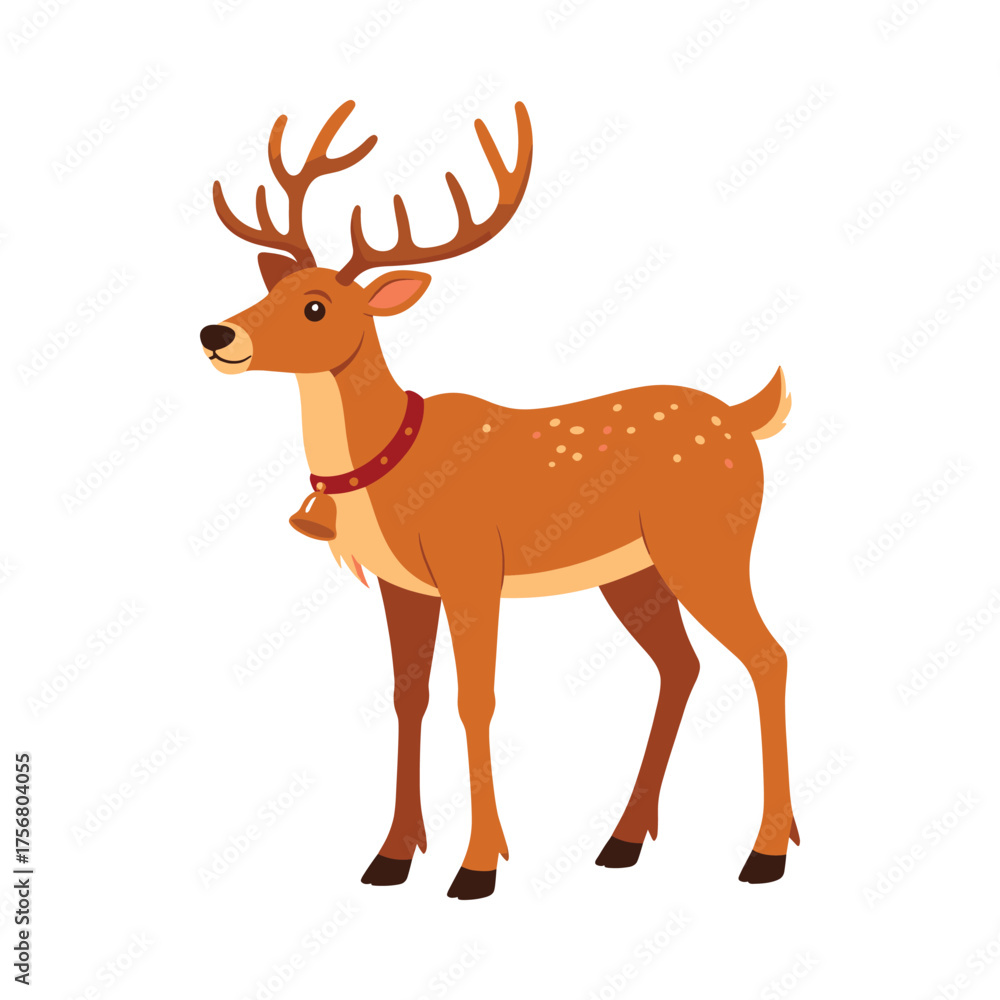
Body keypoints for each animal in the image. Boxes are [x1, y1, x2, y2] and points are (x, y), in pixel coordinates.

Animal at [200, 100, 798, 900]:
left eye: (317, 306)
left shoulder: (472, 565)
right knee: (682, 666)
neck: (392, 469)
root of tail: (746, 417)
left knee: (767, 656)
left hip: (707, 540)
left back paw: (766, 854)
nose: (216, 332)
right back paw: (623, 842)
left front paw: (477, 867)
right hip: (633, 570)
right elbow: (409, 698)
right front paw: (391, 857)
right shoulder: (404, 585)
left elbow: (473, 699)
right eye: (269, 290)